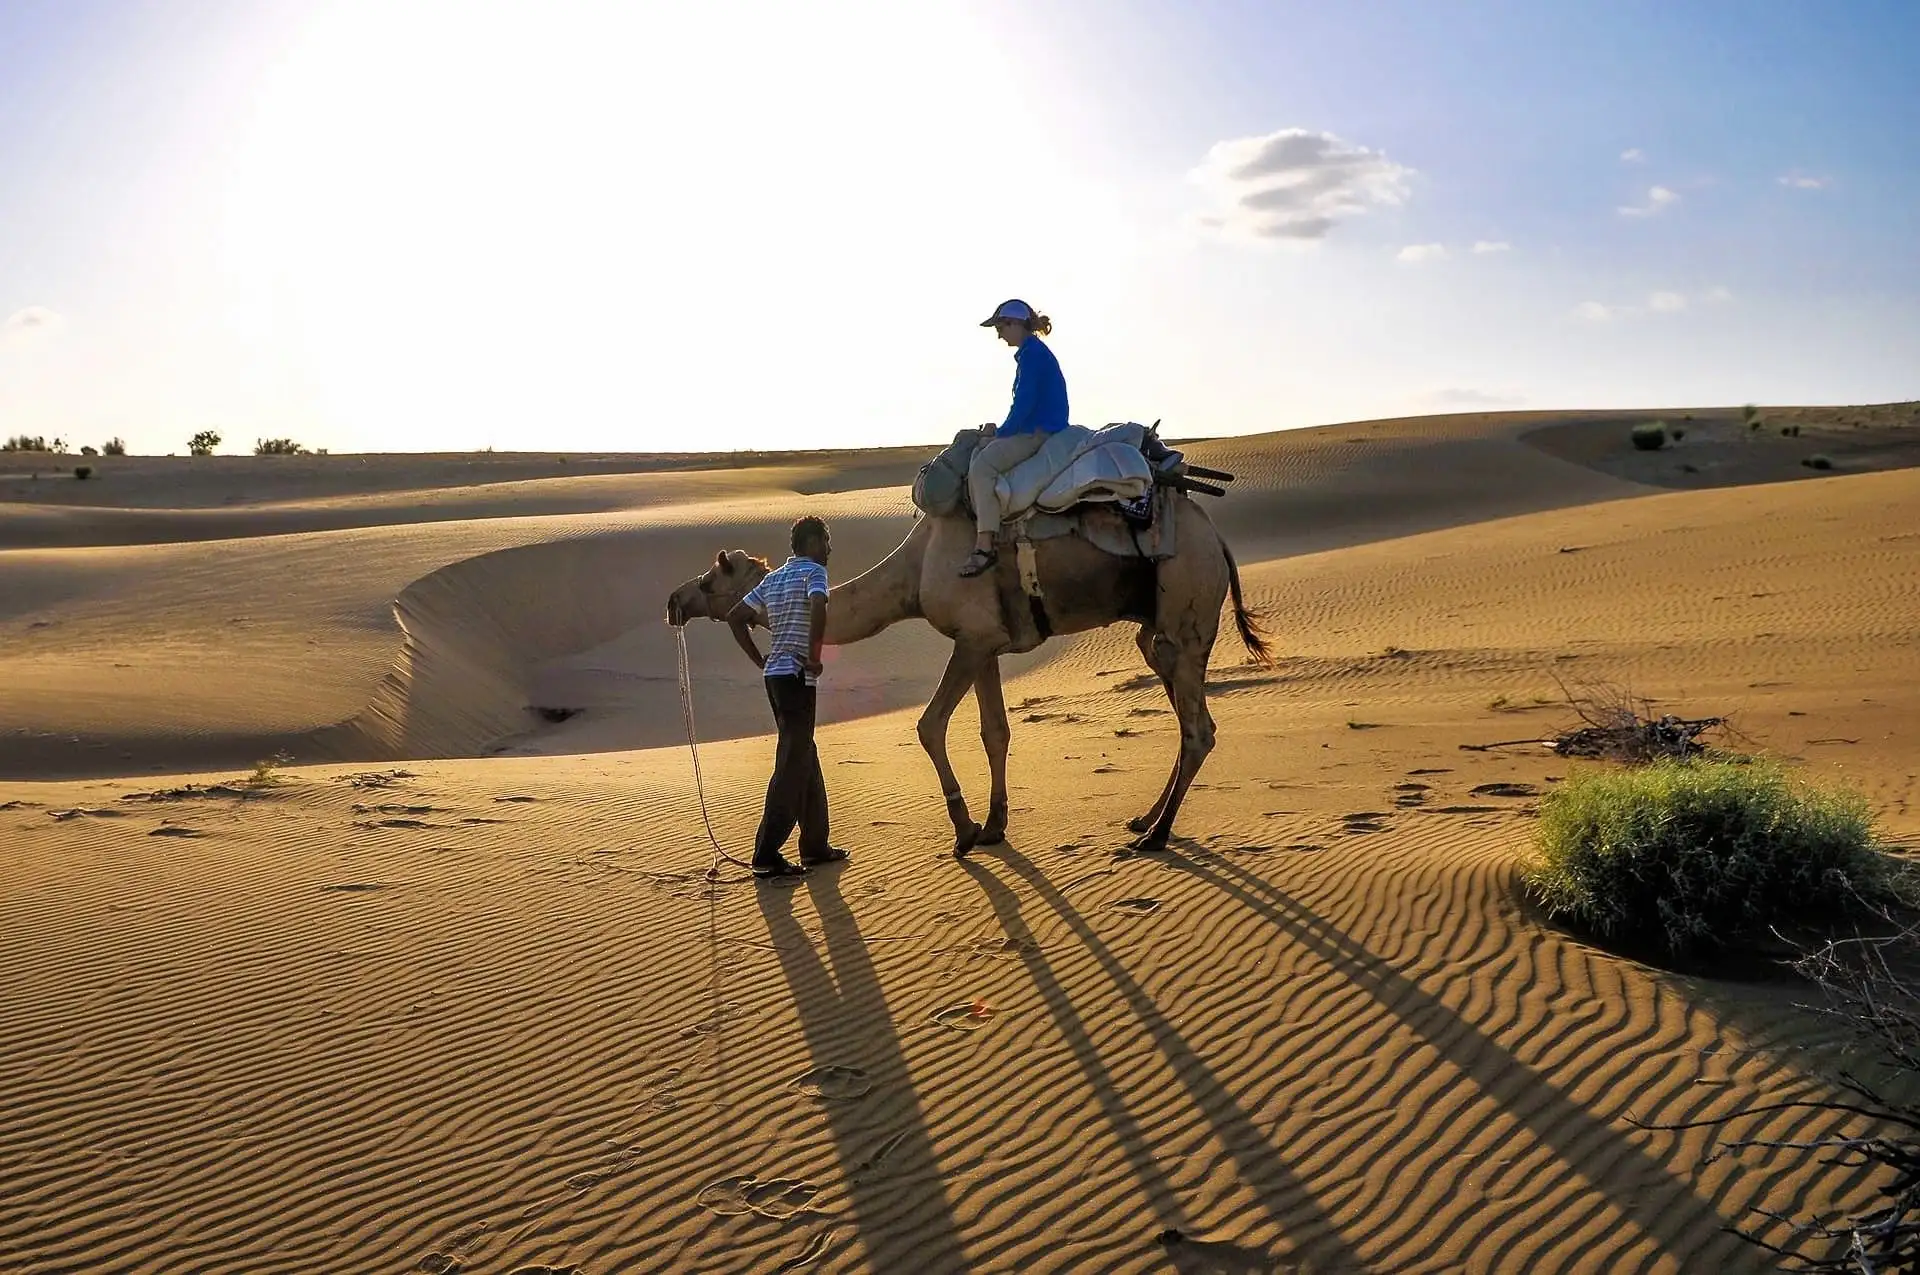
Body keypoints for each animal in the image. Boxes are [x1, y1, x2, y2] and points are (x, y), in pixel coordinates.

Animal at [664, 499, 1274, 856]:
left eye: (713, 575)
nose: (674, 599)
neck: (912, 575)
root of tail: (1217, 538)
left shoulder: (971, 637)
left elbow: (930, 726)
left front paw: (964, 831)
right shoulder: (990, 643)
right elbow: (994, 731)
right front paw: (995, 825)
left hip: (1186, 602)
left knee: (1198, 729)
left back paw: (1157, 833)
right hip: (1160, 632)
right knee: (1187, 715)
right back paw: (1144, 818)